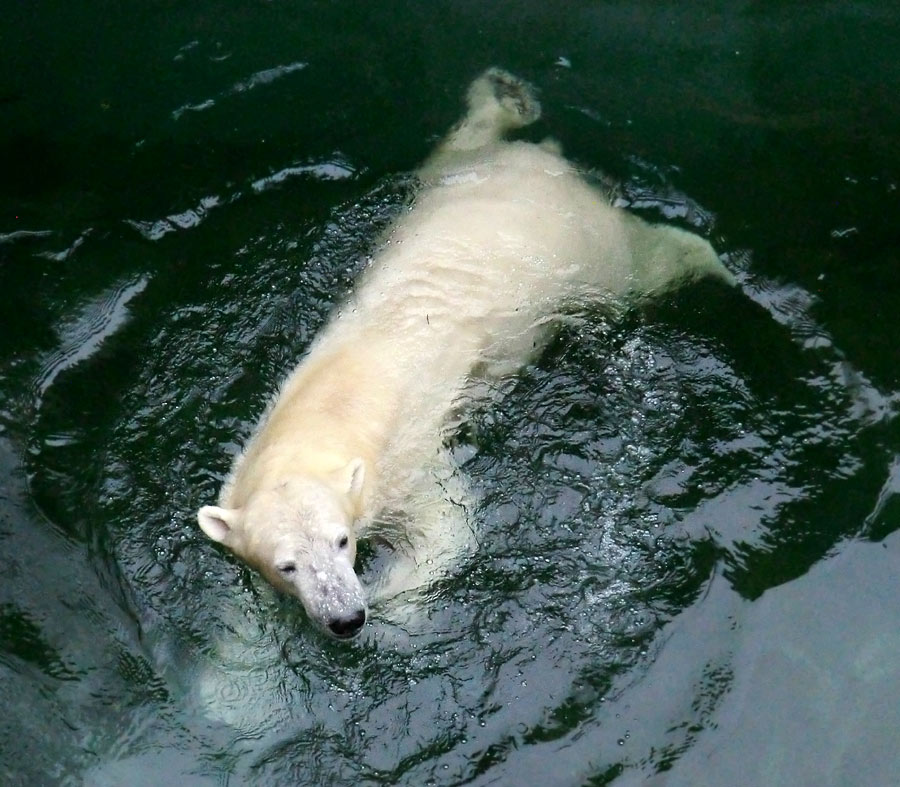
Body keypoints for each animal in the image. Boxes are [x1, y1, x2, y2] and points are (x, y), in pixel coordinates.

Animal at [195, 64, 732, 636]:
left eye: (342, 541)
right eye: (286, 565)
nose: (345, 617)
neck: (331, 408)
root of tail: (550, 170)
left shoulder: (408, 463)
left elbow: (447, 531)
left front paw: (391, 601)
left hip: (592, 251)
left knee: (649, 264)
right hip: (452, 178)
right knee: (463, 143)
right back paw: (503, 97)